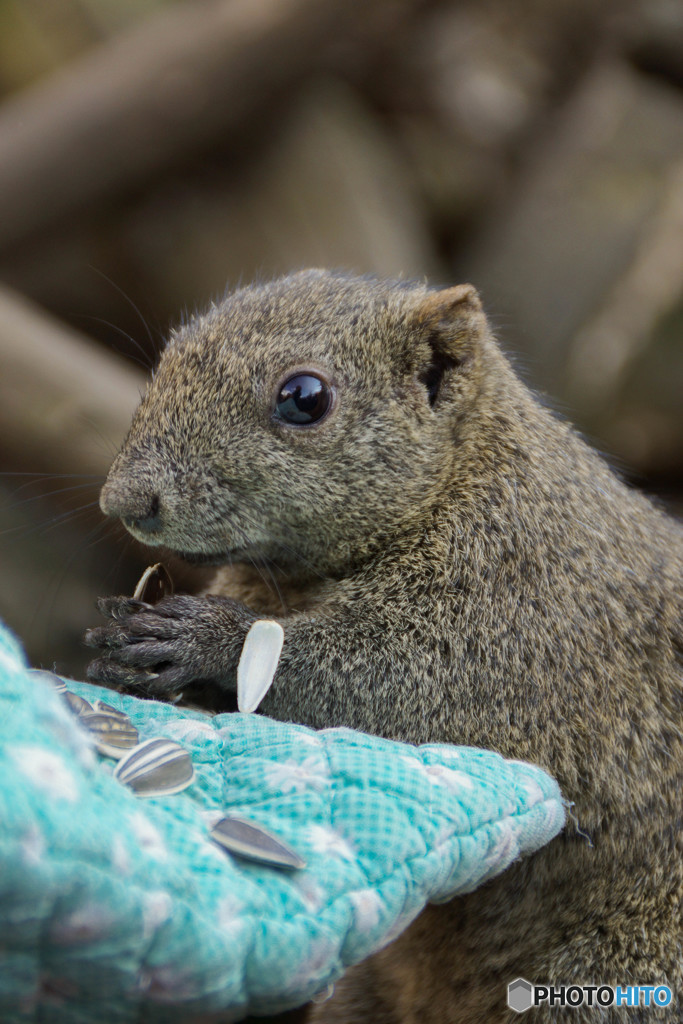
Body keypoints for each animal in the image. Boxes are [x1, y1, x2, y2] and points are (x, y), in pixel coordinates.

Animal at [85, 268, 683, 1019]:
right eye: (172, 351)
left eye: (304, 398)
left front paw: (202, 640)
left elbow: (391, 686)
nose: (123, 501)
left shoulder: (520, 619)